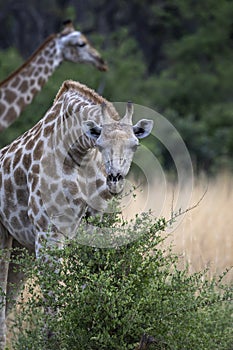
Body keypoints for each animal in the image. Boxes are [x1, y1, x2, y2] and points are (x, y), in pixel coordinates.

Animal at [0, 79, 153, 348]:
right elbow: (52, 299)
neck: (77, 155)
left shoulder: (94, 229)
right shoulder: (47, 233)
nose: (115, 179)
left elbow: (88, 287)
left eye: (135, 145)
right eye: (99, 143)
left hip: (20, 246)